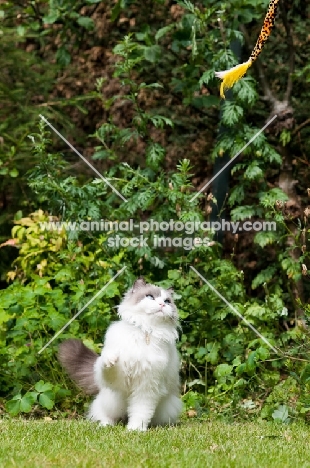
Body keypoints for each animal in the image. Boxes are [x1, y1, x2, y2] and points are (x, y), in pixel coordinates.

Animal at [58, 278, 182, 432]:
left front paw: (135, 429)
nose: (162, 304)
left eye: (167, 301)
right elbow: (109, 362)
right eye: (150, 297)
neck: (145, 330)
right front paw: (111, 358)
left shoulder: (147, 386)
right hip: (112, 399)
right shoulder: (118, 377)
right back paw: (105, 426)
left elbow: (140, 412)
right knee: (103, 415)